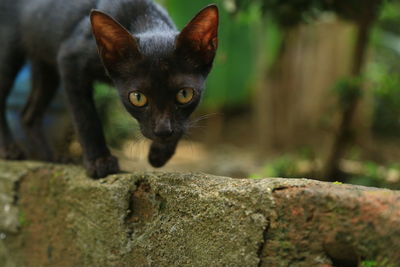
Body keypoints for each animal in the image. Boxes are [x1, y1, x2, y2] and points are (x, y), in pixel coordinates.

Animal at [0, 1, 219, 180]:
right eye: (138, 97)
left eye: (184, 94)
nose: (163, 131)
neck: (145, 17)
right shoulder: (69, 60)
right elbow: (86, 118)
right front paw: (99, 162)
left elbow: (184, 122)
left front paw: (160, 153)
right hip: (10, 54)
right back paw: (10, 150)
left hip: (44, 62)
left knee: (28, 115)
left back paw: (52, 158)